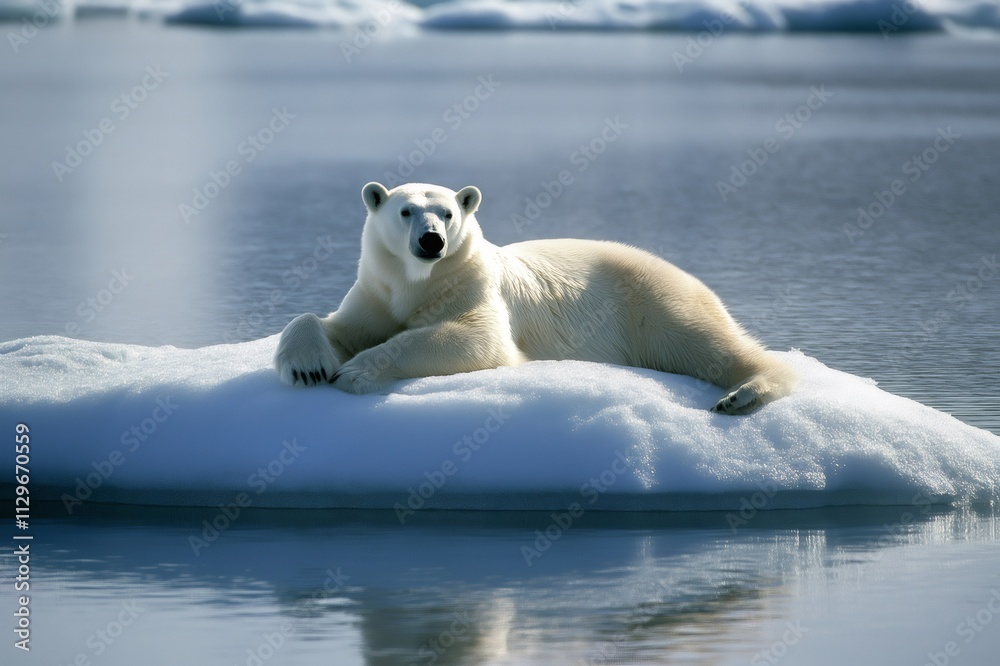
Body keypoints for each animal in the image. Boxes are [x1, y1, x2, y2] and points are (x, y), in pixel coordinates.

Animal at [274, 182, 797, 414]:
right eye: (406, 211)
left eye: (447, 213)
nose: (431, 241)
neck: (419, 281)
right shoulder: (377, 293)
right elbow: (337, 324)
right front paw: (308, 365)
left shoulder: (473, 287)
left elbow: (477, 340)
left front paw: (355, 371)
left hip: (652, 302)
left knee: (708, 344)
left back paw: (742, 394)